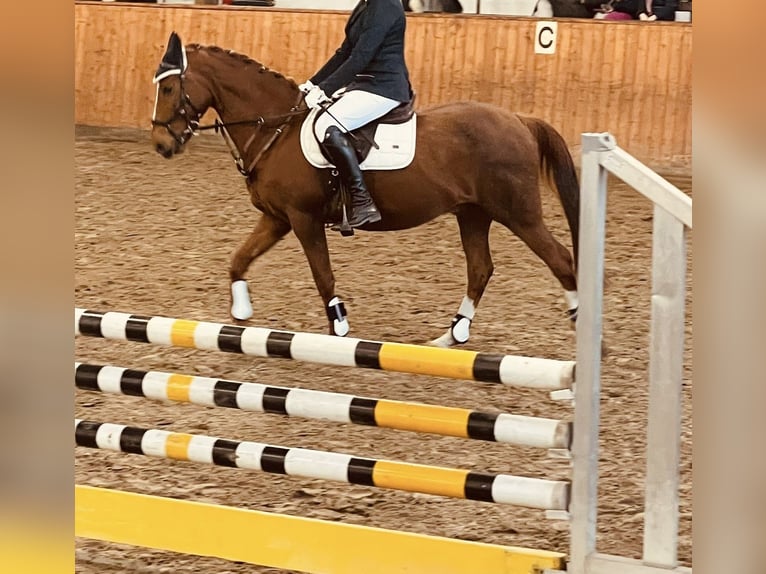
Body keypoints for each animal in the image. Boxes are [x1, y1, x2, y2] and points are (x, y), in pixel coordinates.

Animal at [152, 32, 584, 352]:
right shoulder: (277, 218)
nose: (161, 145)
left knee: (561, 260)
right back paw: (451, 336)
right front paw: (241, 312)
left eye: (170, 88)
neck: (278, 129)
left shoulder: (303, 219)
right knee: (480, 269)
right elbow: (238, 259)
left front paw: (339, 326)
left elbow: (323, 275)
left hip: (518, 213)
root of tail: (520, 120)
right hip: (473, 213)